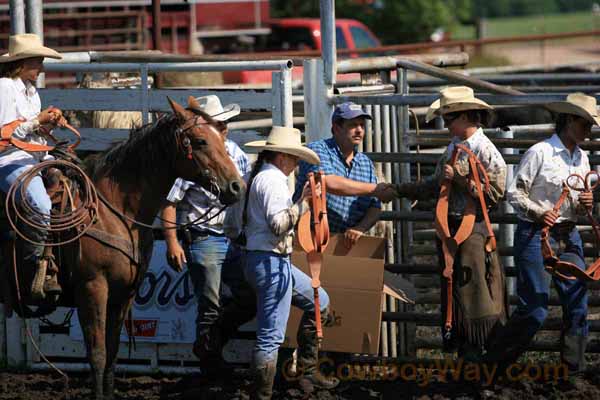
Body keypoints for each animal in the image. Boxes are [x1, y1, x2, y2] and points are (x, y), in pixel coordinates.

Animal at [3, 95, 244, 398]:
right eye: (200, 141)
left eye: (222, 135)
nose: (236, 186)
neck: (115, 211)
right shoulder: (92, 288)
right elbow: (97, 354)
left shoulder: (125, 292)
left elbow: (113, 353)